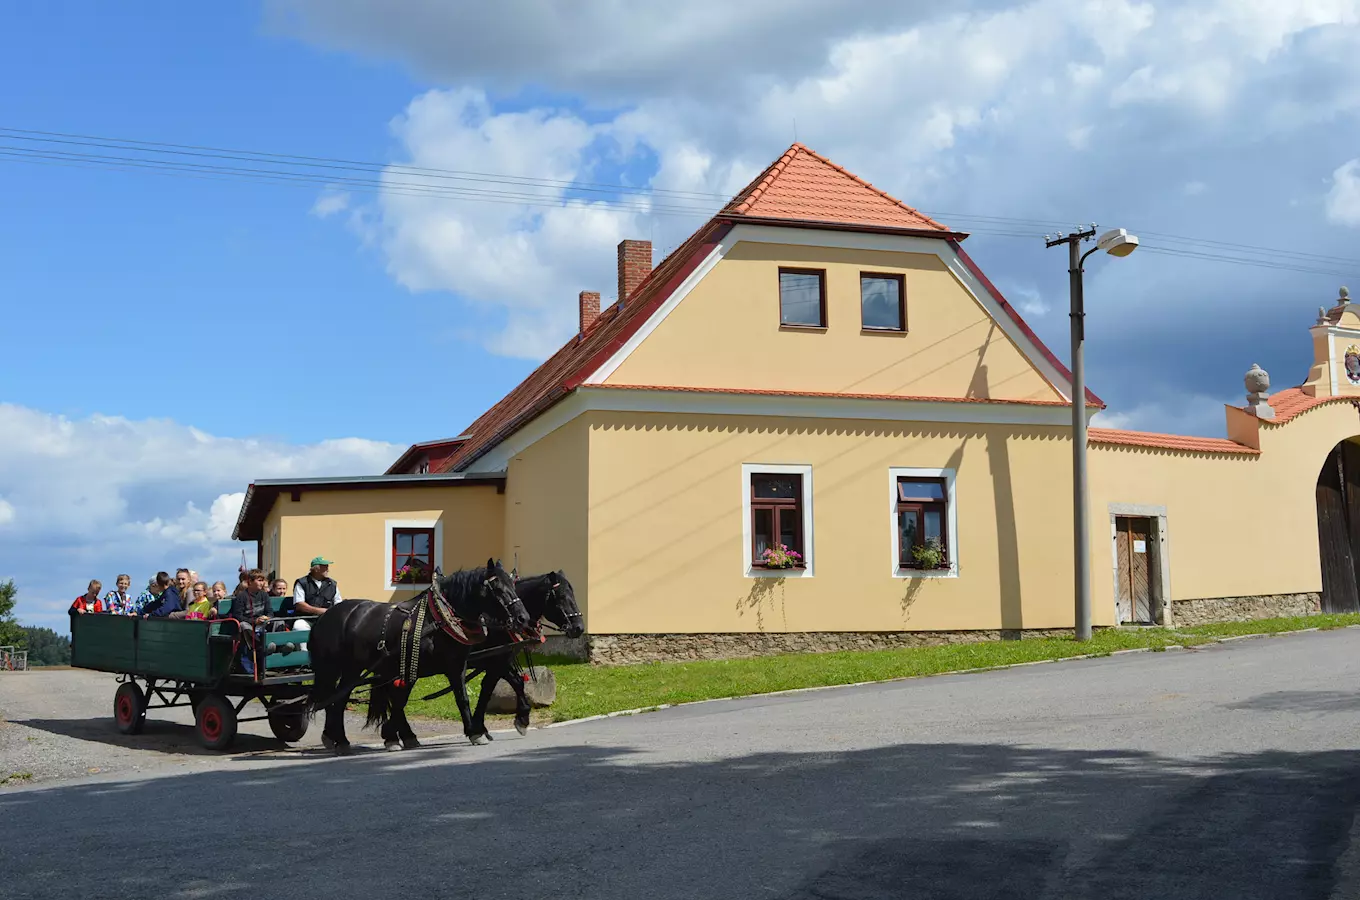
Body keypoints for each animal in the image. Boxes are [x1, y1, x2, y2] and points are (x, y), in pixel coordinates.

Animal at [306, 560, 527, 755]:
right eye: (497, 588)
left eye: (513, 585)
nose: (522, 617)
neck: (439, 619)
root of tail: (324, 616)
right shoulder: (412, 667)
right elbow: (400, 701)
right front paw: (392, 736)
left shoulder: (456, 664)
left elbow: (462, 697)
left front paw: (474, 732)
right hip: (340, 669)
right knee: (337, 700)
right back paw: (340, 740)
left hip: (354, 669)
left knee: (337, 699)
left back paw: (335, 738)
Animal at [465, 573, 582, 745]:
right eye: (561, 596)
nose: (579, 627)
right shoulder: (496, 662)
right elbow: (488, 689)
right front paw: (478, 729)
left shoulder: (502, 661)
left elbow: (517, 683)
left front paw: (522, 719)